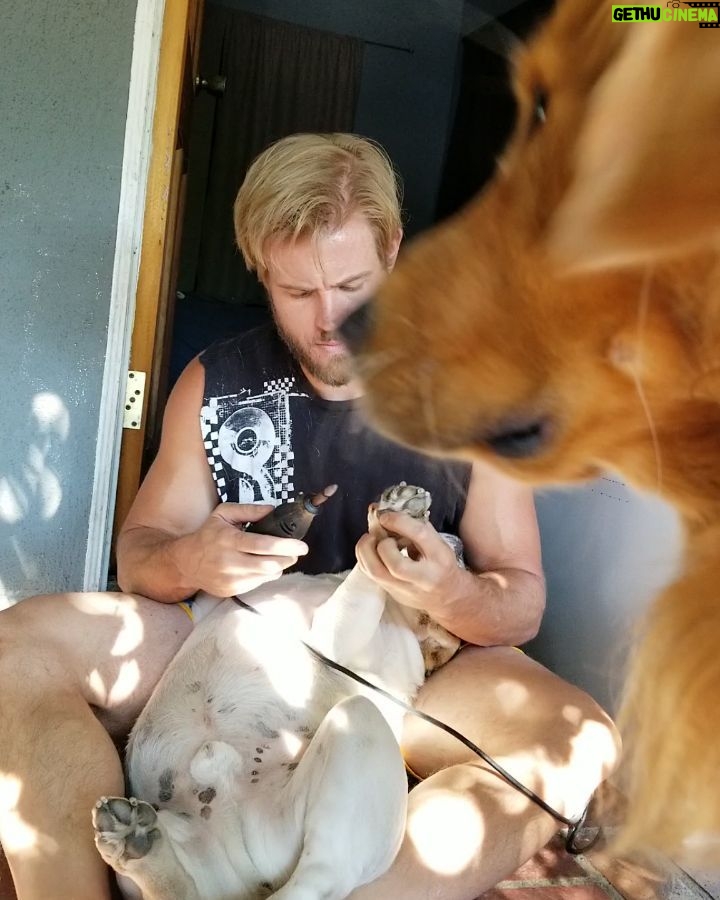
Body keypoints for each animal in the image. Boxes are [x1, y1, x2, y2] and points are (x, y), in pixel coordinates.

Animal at [94, 486, 462, 900]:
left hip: (357, 728)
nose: (459, 544)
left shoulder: (335, 638)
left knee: (318, 879)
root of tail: (246, 875)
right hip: (183, 847)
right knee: (180, 888)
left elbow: (365, 580)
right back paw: (139, 843)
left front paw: (391, 525)